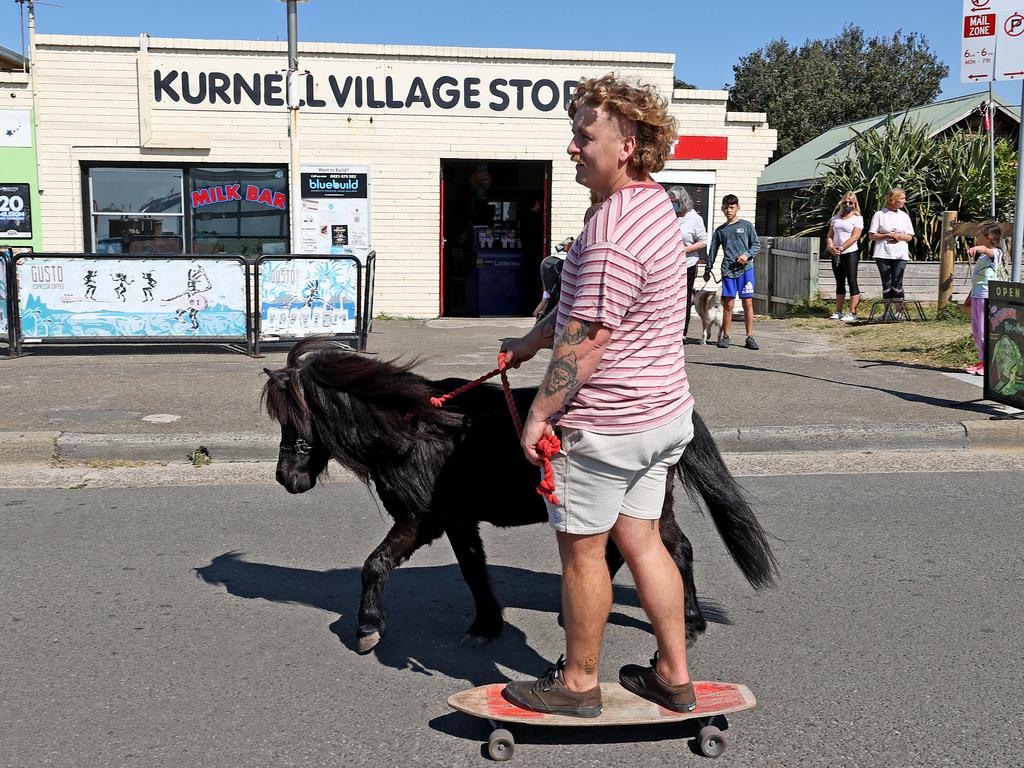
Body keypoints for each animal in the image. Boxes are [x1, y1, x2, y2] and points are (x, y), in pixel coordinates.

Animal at [262, 339, 774, 651]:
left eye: (294, 418)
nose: (287, 477)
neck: (418, 432)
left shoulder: (420, 519)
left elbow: (375, 564)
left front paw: (368, 626)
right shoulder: (456, 520)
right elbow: (472, 569)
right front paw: (487, 624)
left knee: (676, 551)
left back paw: (688, 622)